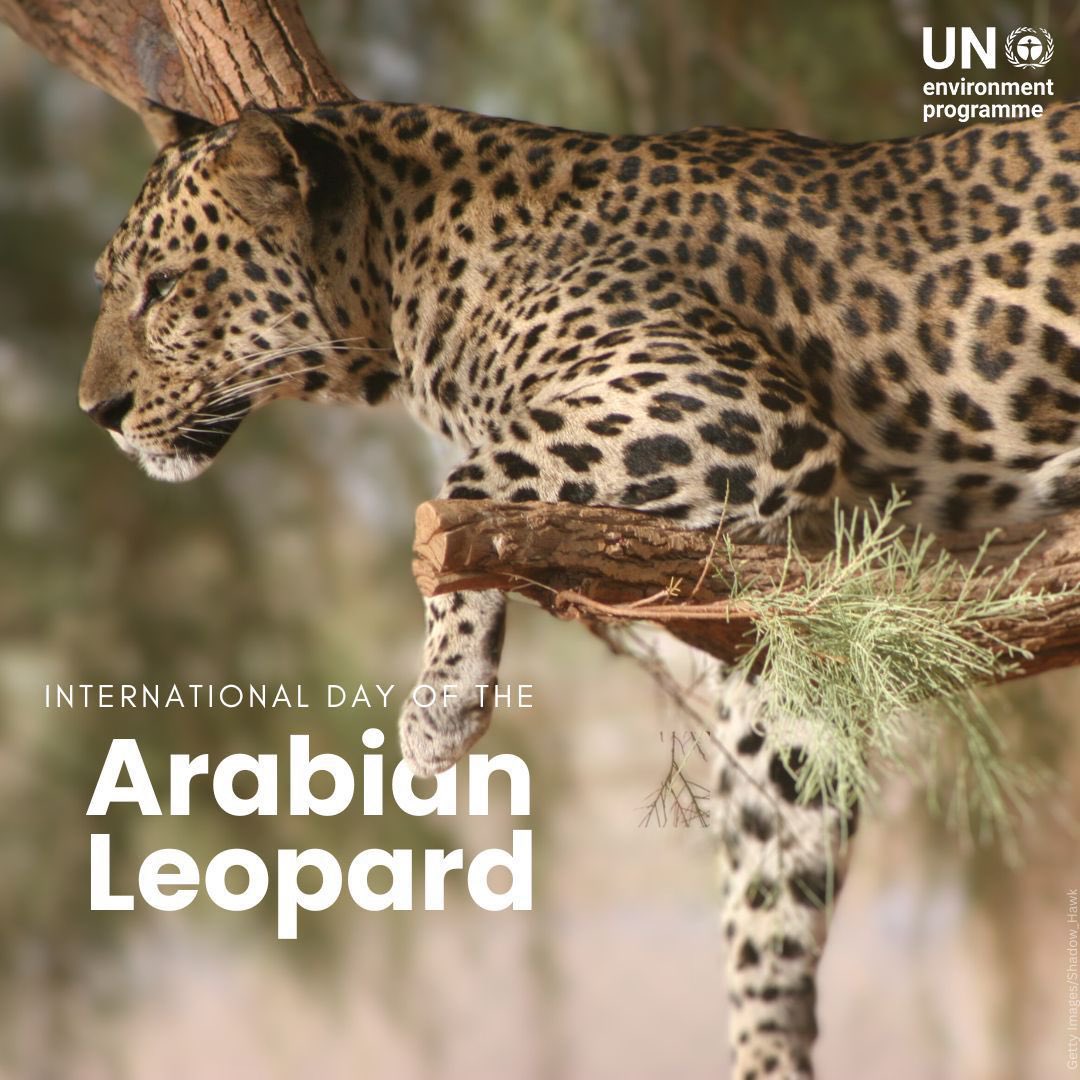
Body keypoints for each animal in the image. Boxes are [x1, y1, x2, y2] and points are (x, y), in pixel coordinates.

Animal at [78, 97, 1080, 1078]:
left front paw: (443, 700)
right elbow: (769, 879)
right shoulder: (792, 619)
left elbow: (467, 483)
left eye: (163, 286)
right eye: (114, 284)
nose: (98, 412)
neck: (404, 271)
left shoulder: (723, 401)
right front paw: (766, 1048)